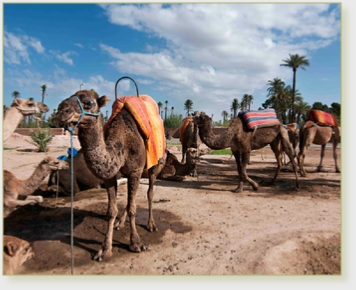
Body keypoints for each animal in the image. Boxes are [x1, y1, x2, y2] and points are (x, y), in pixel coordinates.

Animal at [55, 89, 167, 262]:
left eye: (88, 103)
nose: (61, 110)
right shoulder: (110, 177)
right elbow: (111, 211)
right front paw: (105, 250)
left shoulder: (135, 170)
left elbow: (133, 208)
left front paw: (136, 244)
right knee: (130, 199)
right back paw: (120, 223)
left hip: (155, 165)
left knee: (150, 192)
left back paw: (151, 224)